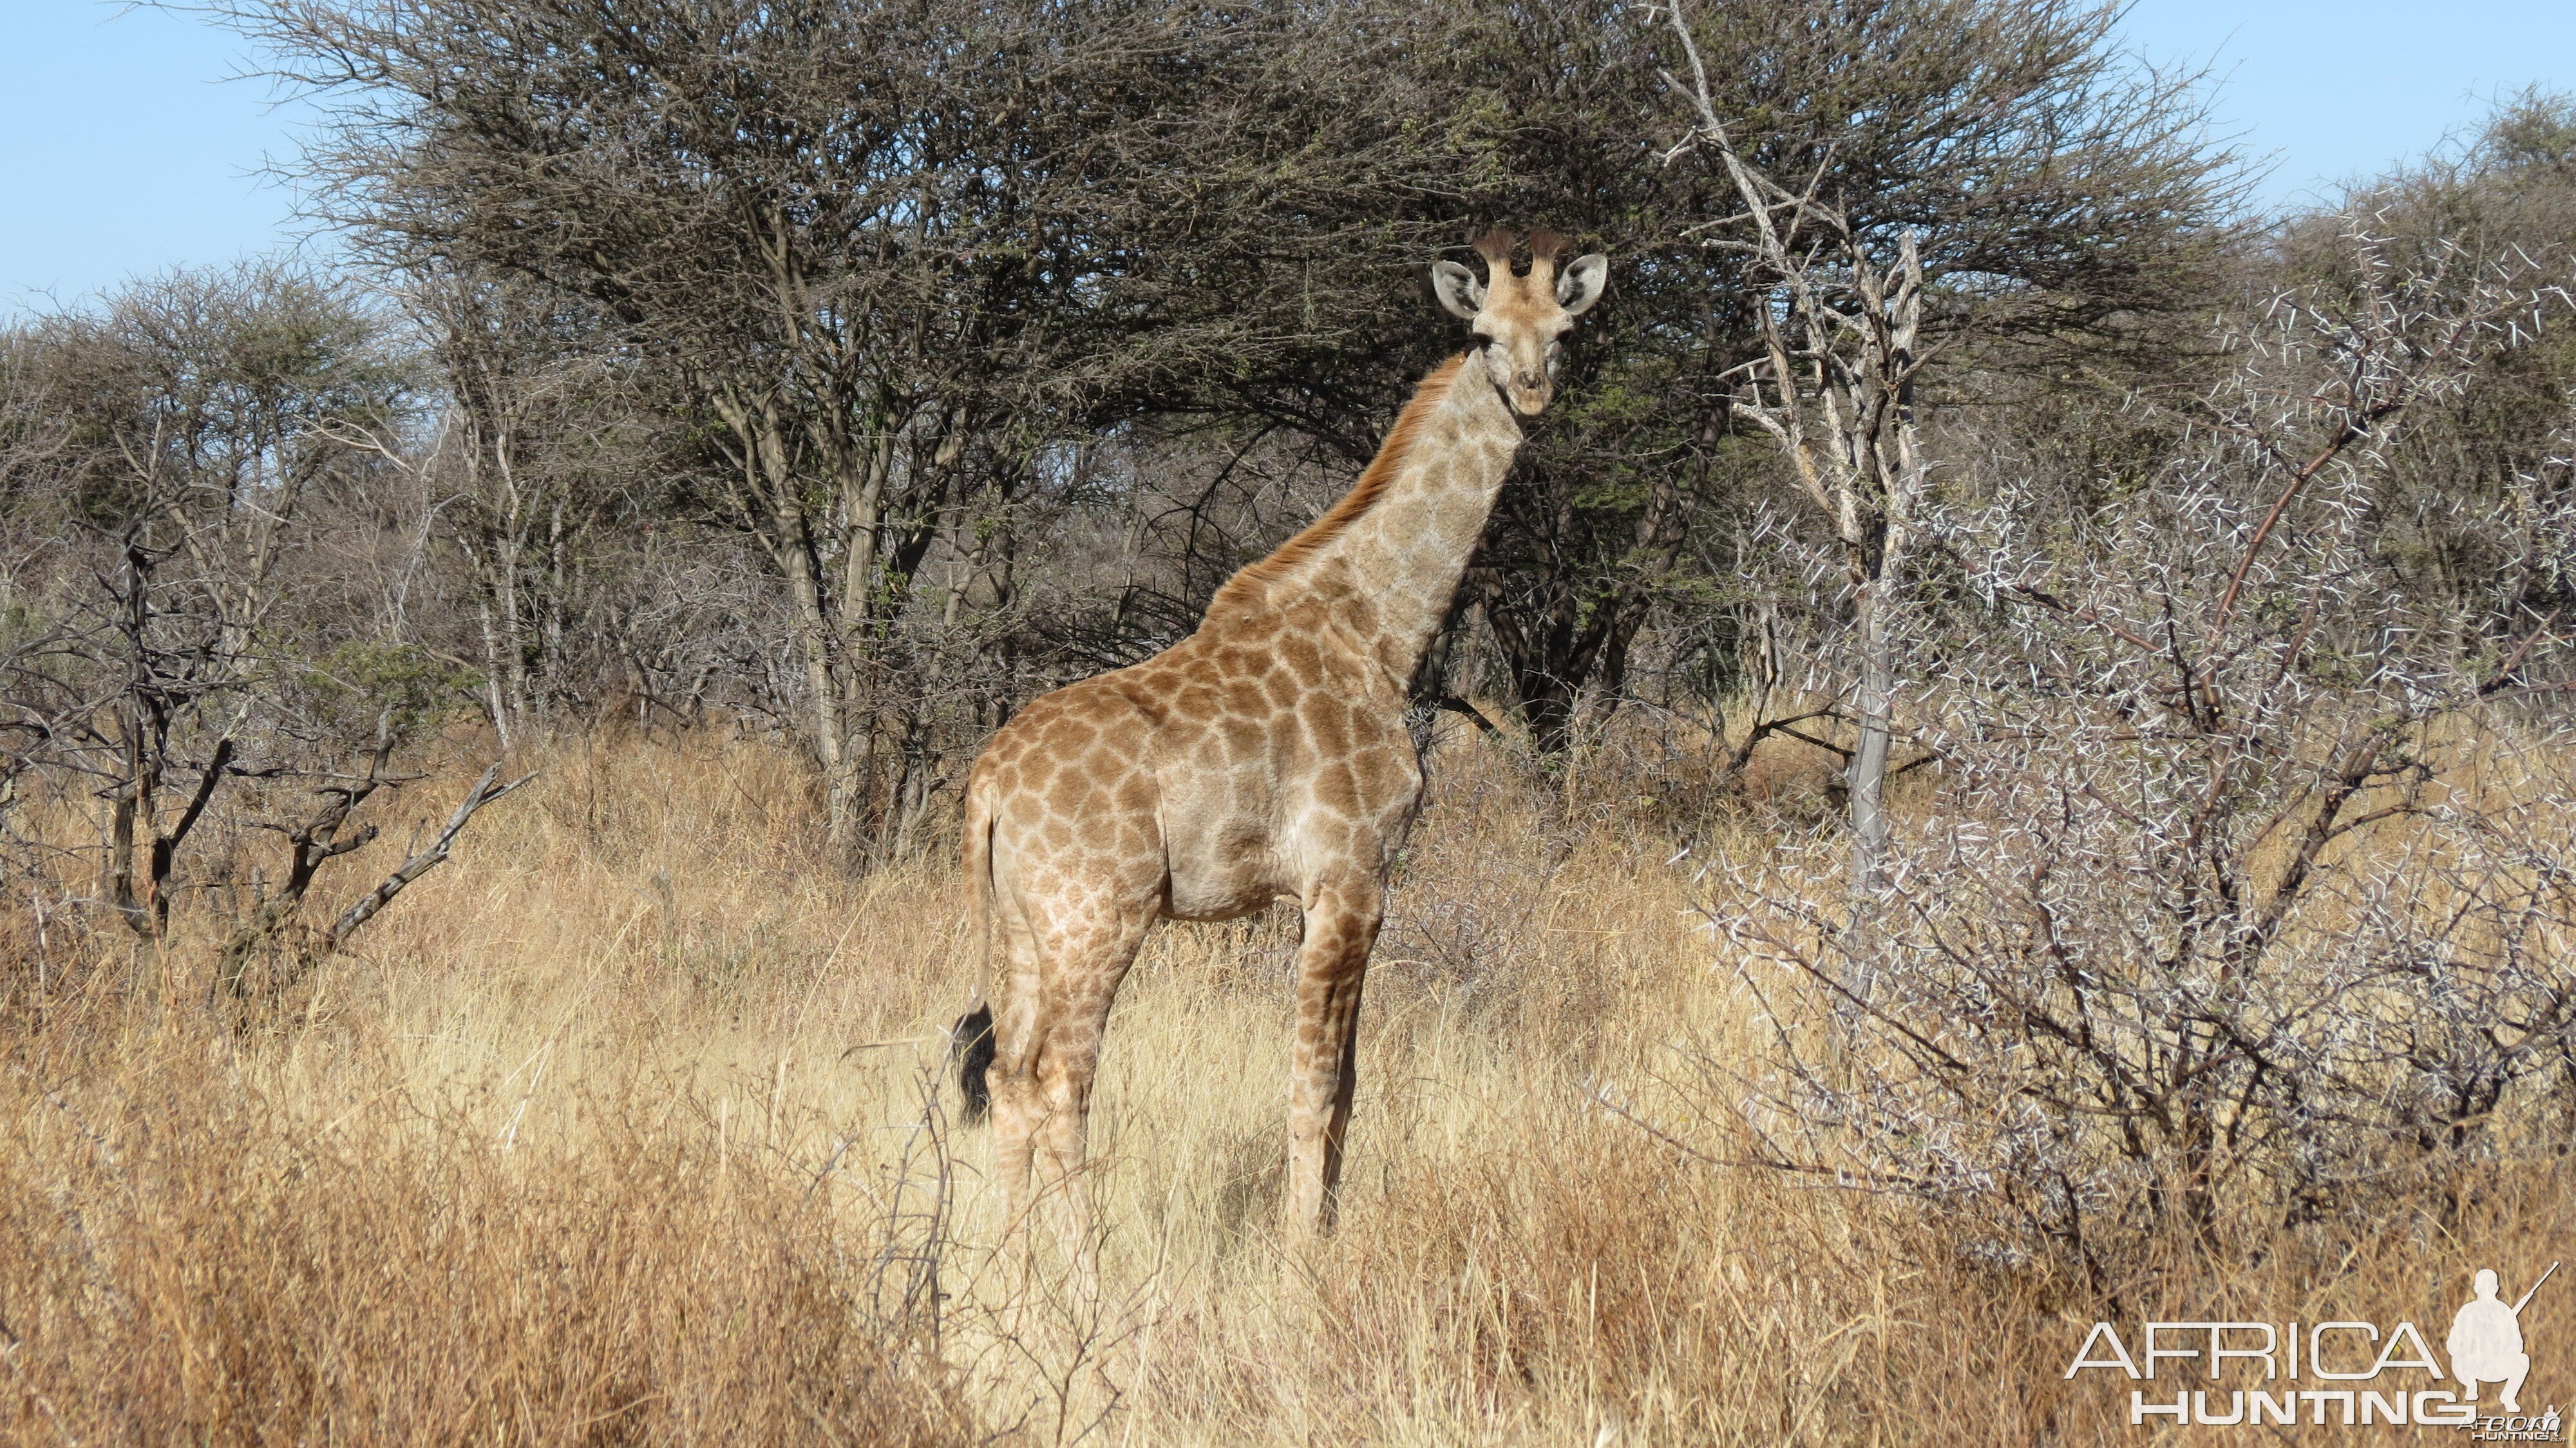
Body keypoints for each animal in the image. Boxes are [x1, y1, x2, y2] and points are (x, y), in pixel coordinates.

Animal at [958, 225, 1597, 1242]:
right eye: (1485, 335)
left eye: (1565, 332)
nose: (1533, 392)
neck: (1379, 629)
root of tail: (985, 784)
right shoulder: (1349, 877)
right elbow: (1312, 1089)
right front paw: (1303, 1261)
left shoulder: (1332, 891)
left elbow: (1350, 1086)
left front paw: (1326, 1237)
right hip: (1097, 918)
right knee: (1060, 1080)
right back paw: (1084, 1272)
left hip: (1025, 925)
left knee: (1009, 1077)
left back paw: (1009, 1266)